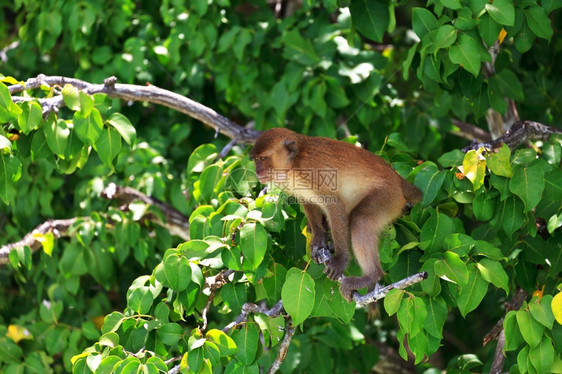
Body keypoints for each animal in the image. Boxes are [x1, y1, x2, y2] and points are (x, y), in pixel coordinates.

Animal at [249, 129, 420, 300]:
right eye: (256, 160)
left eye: (263, 158)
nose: (258, 171)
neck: (294, 165)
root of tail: (397, 178)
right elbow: (307, 200)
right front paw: (319, 238)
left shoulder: (313, 171)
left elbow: (334, 204)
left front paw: (341, 260)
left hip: (389, 197)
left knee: (360, 219)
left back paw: (372, 276)